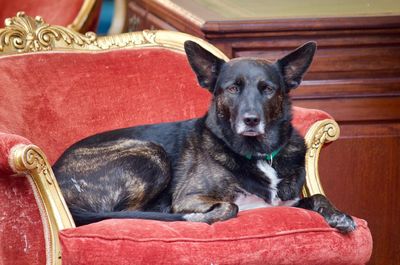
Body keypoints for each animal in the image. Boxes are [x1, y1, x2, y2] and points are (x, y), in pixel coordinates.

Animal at [52, 40, 356, 232]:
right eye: (233, 88)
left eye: (268, 89)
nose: (251, 120)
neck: (258, 153)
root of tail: (56, 170)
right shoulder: (190, 197)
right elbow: (231, 206)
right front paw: (200, 216)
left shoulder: (289, 201)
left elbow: (318, 197)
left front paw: (340, 216)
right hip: (150, 152)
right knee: (130, 216)